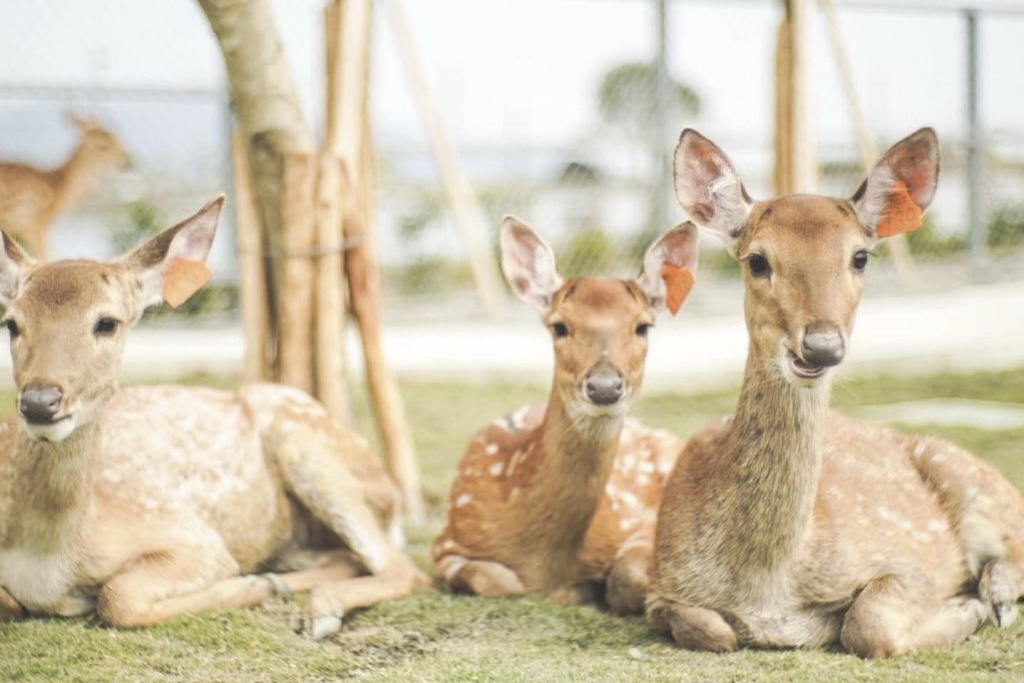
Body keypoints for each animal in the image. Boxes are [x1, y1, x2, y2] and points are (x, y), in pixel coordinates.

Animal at [0, 193, 423, 643]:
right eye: (11, 323)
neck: (45, 558)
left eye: (107, 323)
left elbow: (118, 596)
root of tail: (390, 494)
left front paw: (254, 586)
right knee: (348, 557)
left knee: (403, 566)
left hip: (307, 445)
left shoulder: (194, 537)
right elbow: (11, 603)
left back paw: (312, 607)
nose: (40, 401)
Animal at [432, 219, 696, 614]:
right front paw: (574, 590)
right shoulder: (448, 540)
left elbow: (627, 577)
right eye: (559, 326)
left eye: (643, 326)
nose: (604, 387)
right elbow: (497, 579)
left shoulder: (642, 520)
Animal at [647, 126, 1024, 655]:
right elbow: (712, 630)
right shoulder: (660, 584)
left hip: (967, 473)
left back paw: (997, 596)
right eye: (757, 260)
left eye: (860, 256)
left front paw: (964, 607)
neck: (767, 585)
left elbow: (868, 624)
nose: (821, 346)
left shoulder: (909, 561)